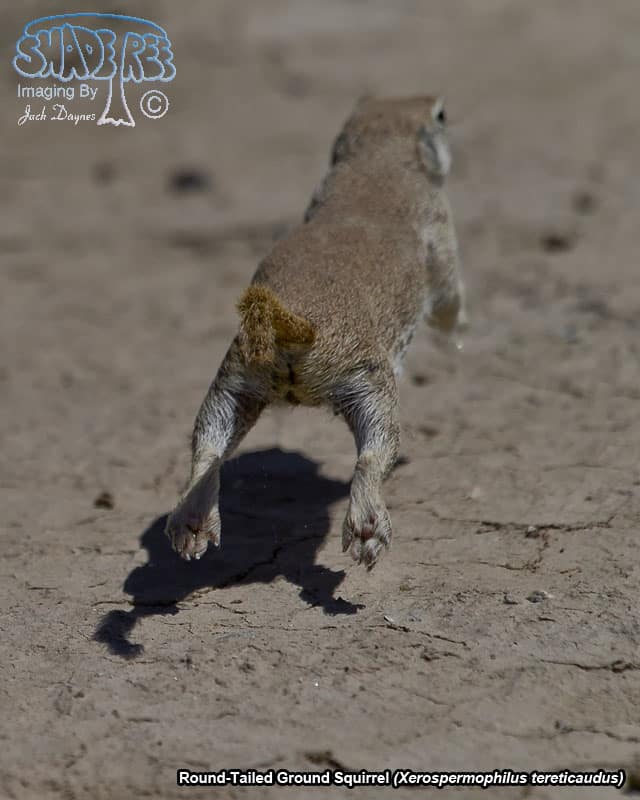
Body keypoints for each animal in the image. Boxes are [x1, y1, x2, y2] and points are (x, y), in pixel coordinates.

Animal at [166, 95, 466, 569]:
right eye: (440, 114)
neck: (377, 157)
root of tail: (293, 323)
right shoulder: (438, 219)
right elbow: (450, 290)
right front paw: (459, 323)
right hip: (368, 379)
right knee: (374, 452)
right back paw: (367, 527)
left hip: (236, 376)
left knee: (208, 443)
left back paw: (191, 521)